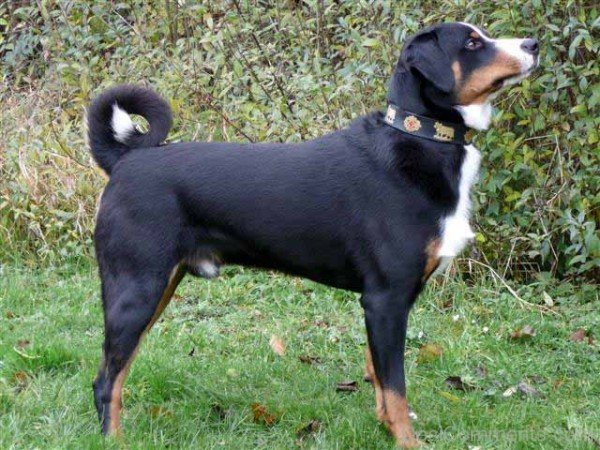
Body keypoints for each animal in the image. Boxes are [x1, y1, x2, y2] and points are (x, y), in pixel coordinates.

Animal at [88, 22, 540, 448]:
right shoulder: (386, 299)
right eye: (471, 44)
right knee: (106, 381)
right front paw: (407, 441)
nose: (533, 44)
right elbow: (396, 387)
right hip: (137, 288)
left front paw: (384, 427)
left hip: (158, 286)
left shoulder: (383, 304)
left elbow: (379, 377)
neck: (419, 136)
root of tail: (125, 159)